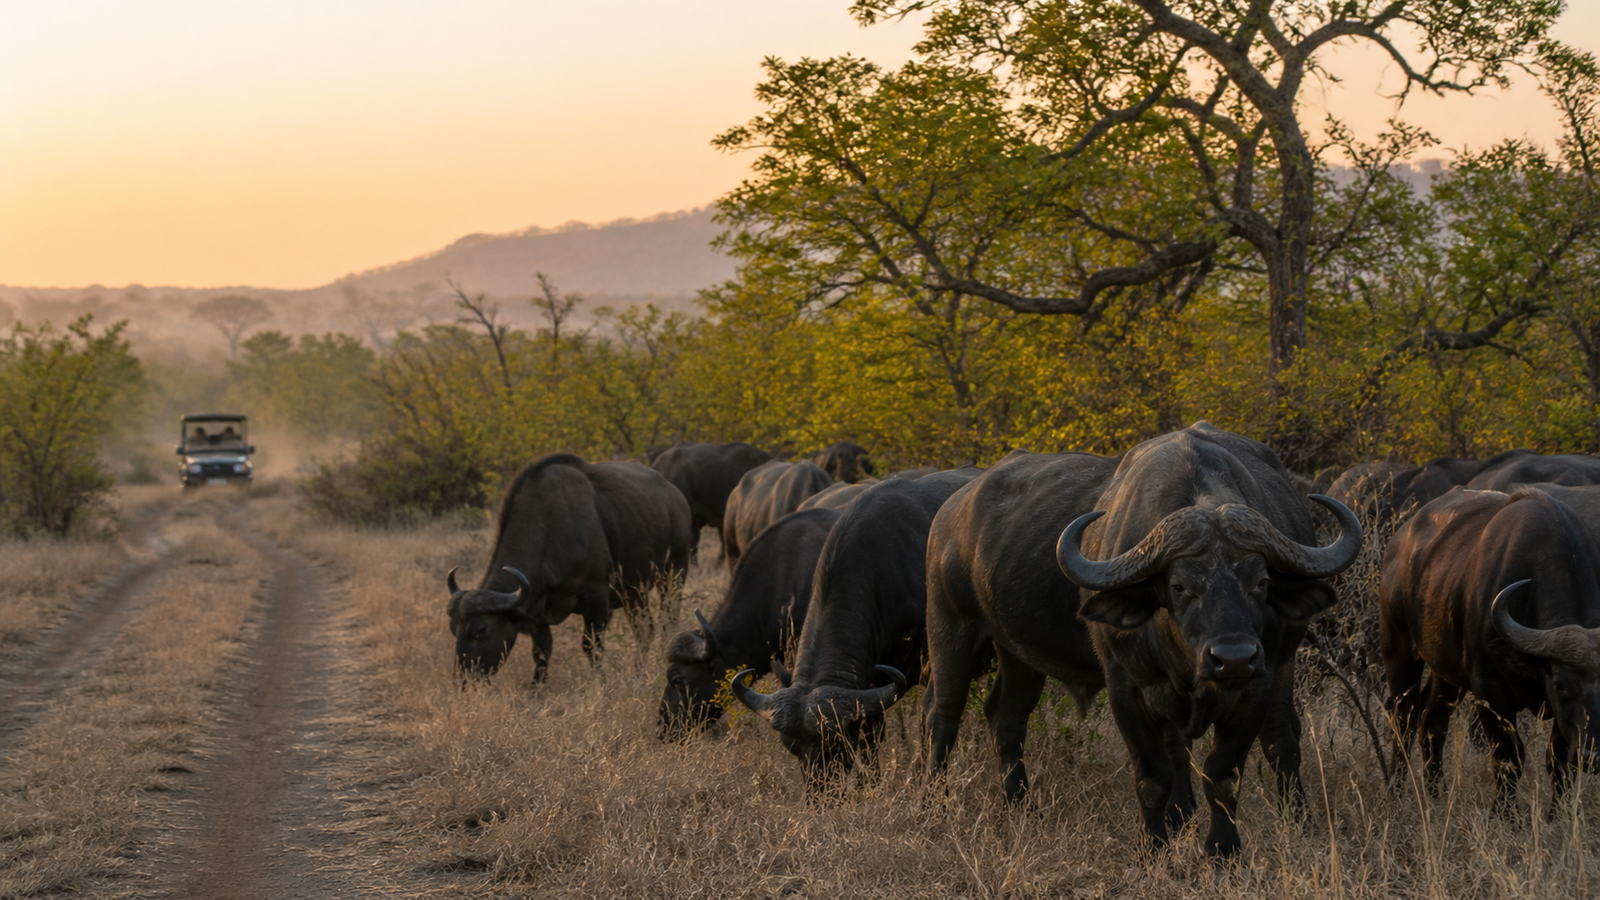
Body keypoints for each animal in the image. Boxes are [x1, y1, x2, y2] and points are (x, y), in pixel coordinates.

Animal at [447, 453, 691, 683]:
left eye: (481, 630)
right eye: (453, 629)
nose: (462, 679)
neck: (552, 528)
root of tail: (676, 496)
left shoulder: (596, 597)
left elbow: (592, 647)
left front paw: (600, 684)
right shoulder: (539, 610)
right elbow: (541, 650)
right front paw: (537, 687)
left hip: (674, 575)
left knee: (668, 622)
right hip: (634, 593)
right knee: (644, 630)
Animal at [1055, 423, 1360, 857]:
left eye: (1261, 582)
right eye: (1179, 586)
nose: (1233, 658)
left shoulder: (1256, 687)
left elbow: (1223, 775)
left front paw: (1222, 850)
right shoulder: (1124, 689)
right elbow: (1152, 777)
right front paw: (1152, 847)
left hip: (1283, 669)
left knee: (1282, 742)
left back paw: (1298, 819)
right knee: (1177, 752)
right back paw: (1178, 818)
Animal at [1381, 487, 1600, 812]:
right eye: (1561, 685)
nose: (1593, 757)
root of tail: (1399, 541)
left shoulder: (1564, 722)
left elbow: (1558, 762)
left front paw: (1556, 814)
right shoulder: (1489, 689)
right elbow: (1510, 757)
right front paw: (1505, 813)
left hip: (1446, 671)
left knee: (1432, 720)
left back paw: (1436, 794)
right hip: (1398, 647)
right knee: (1403, 716)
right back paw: (1395, 792)